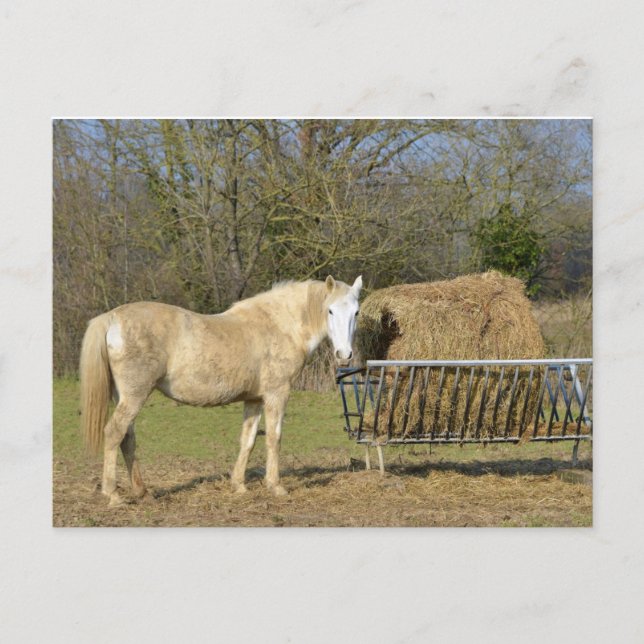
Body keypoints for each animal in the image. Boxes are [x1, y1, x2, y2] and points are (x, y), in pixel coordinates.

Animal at [79, 275, 362, 506]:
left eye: (356, 312)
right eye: (330, 311)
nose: (344, 355)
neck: (279, 325)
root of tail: (112, 318)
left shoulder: (254, 399)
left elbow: (248, 440)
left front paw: (238, 485)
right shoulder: (276, 394)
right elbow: (274, 438)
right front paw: (276, 486)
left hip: (125, 396)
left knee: (127, 439)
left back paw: (142, 492)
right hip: (135, 395)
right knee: (114, 433)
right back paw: (113, 495)